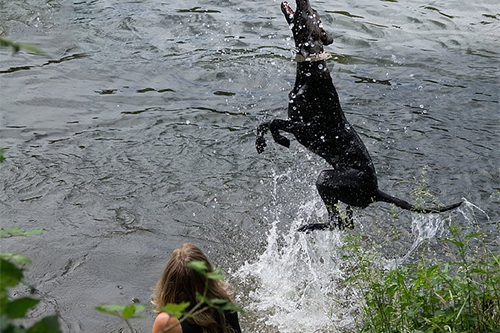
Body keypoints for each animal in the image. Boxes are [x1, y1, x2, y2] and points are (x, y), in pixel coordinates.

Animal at [256, 0, 462, 231]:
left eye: (311, 12)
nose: (306, 2)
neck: (311, 69)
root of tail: (376, 192)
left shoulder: (307, 129)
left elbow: (274, 122)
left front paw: (280, 139)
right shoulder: (296, 124)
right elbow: (264, 123)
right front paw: (260, 143)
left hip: (325, 178)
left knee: (336, 222)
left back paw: (309, 226)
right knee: (346, 223)